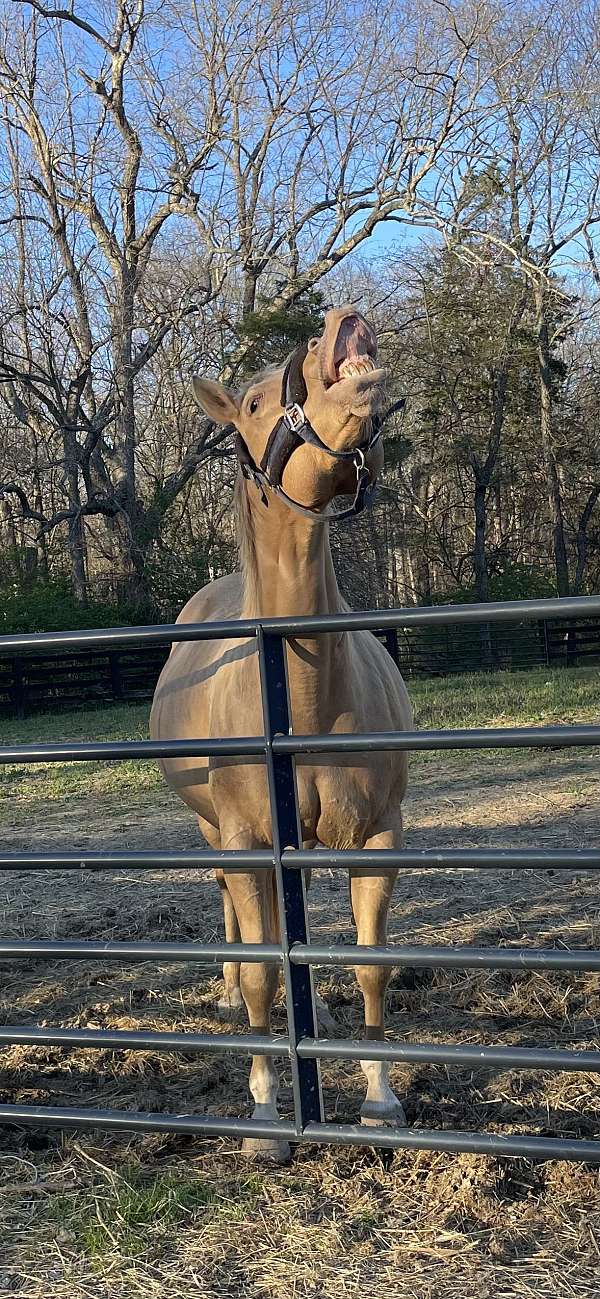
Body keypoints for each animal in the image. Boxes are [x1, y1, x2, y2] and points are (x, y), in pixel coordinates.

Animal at [150, 306, 412, 1169]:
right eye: (259, 403)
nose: (342, 324)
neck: (298, 688)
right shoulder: (242, 836)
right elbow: (268, 971)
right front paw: (266, 1115)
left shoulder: (379, 836)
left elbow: (371, 968)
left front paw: (380, 1101)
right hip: (215, 835)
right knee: (240, 919)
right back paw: (233, 997)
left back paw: (313, 1020)